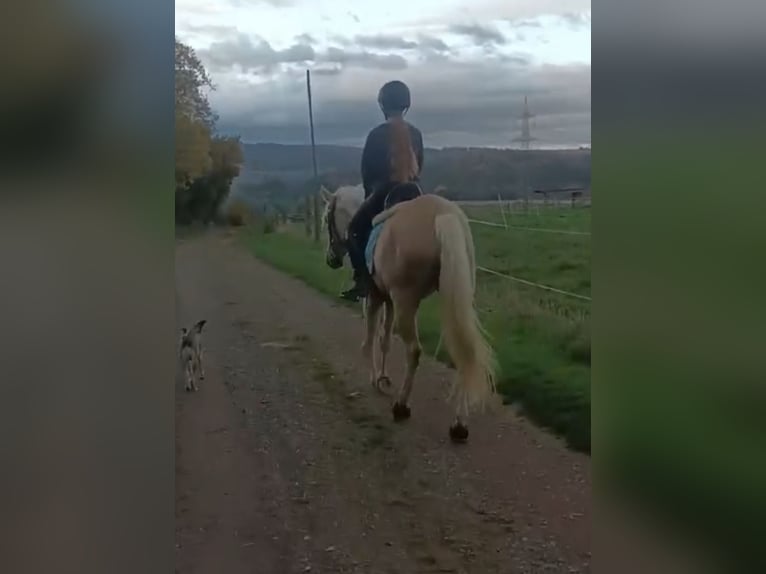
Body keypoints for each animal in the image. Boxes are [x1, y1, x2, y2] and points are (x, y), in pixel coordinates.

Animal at [320, 187, 496, 444]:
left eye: (326, 219)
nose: (331, 259)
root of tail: (443, 214)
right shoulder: (389, 299)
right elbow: (384, 339)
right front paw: (383, 378)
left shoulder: (375, 297)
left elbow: (370, 339)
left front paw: (375, 378)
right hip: (453, 296)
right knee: (464, 353)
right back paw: (459, 425)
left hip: (406, 301)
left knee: (413, 350)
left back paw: (401, 406)